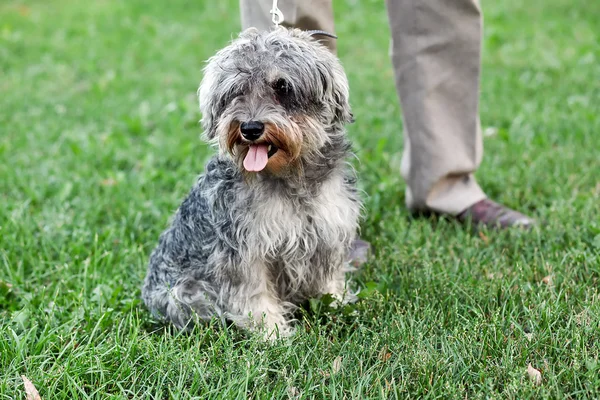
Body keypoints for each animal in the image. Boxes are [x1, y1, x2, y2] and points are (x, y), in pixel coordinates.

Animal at [142, 27, 360, 338]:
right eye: (236, 92)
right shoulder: (245, 252)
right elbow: (255, 296)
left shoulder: (328, 232)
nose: (250, 128)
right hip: (187, 295)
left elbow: (328, 281)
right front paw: (273, 332)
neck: (293, 179)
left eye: (283, 87)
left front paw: (338, 304)